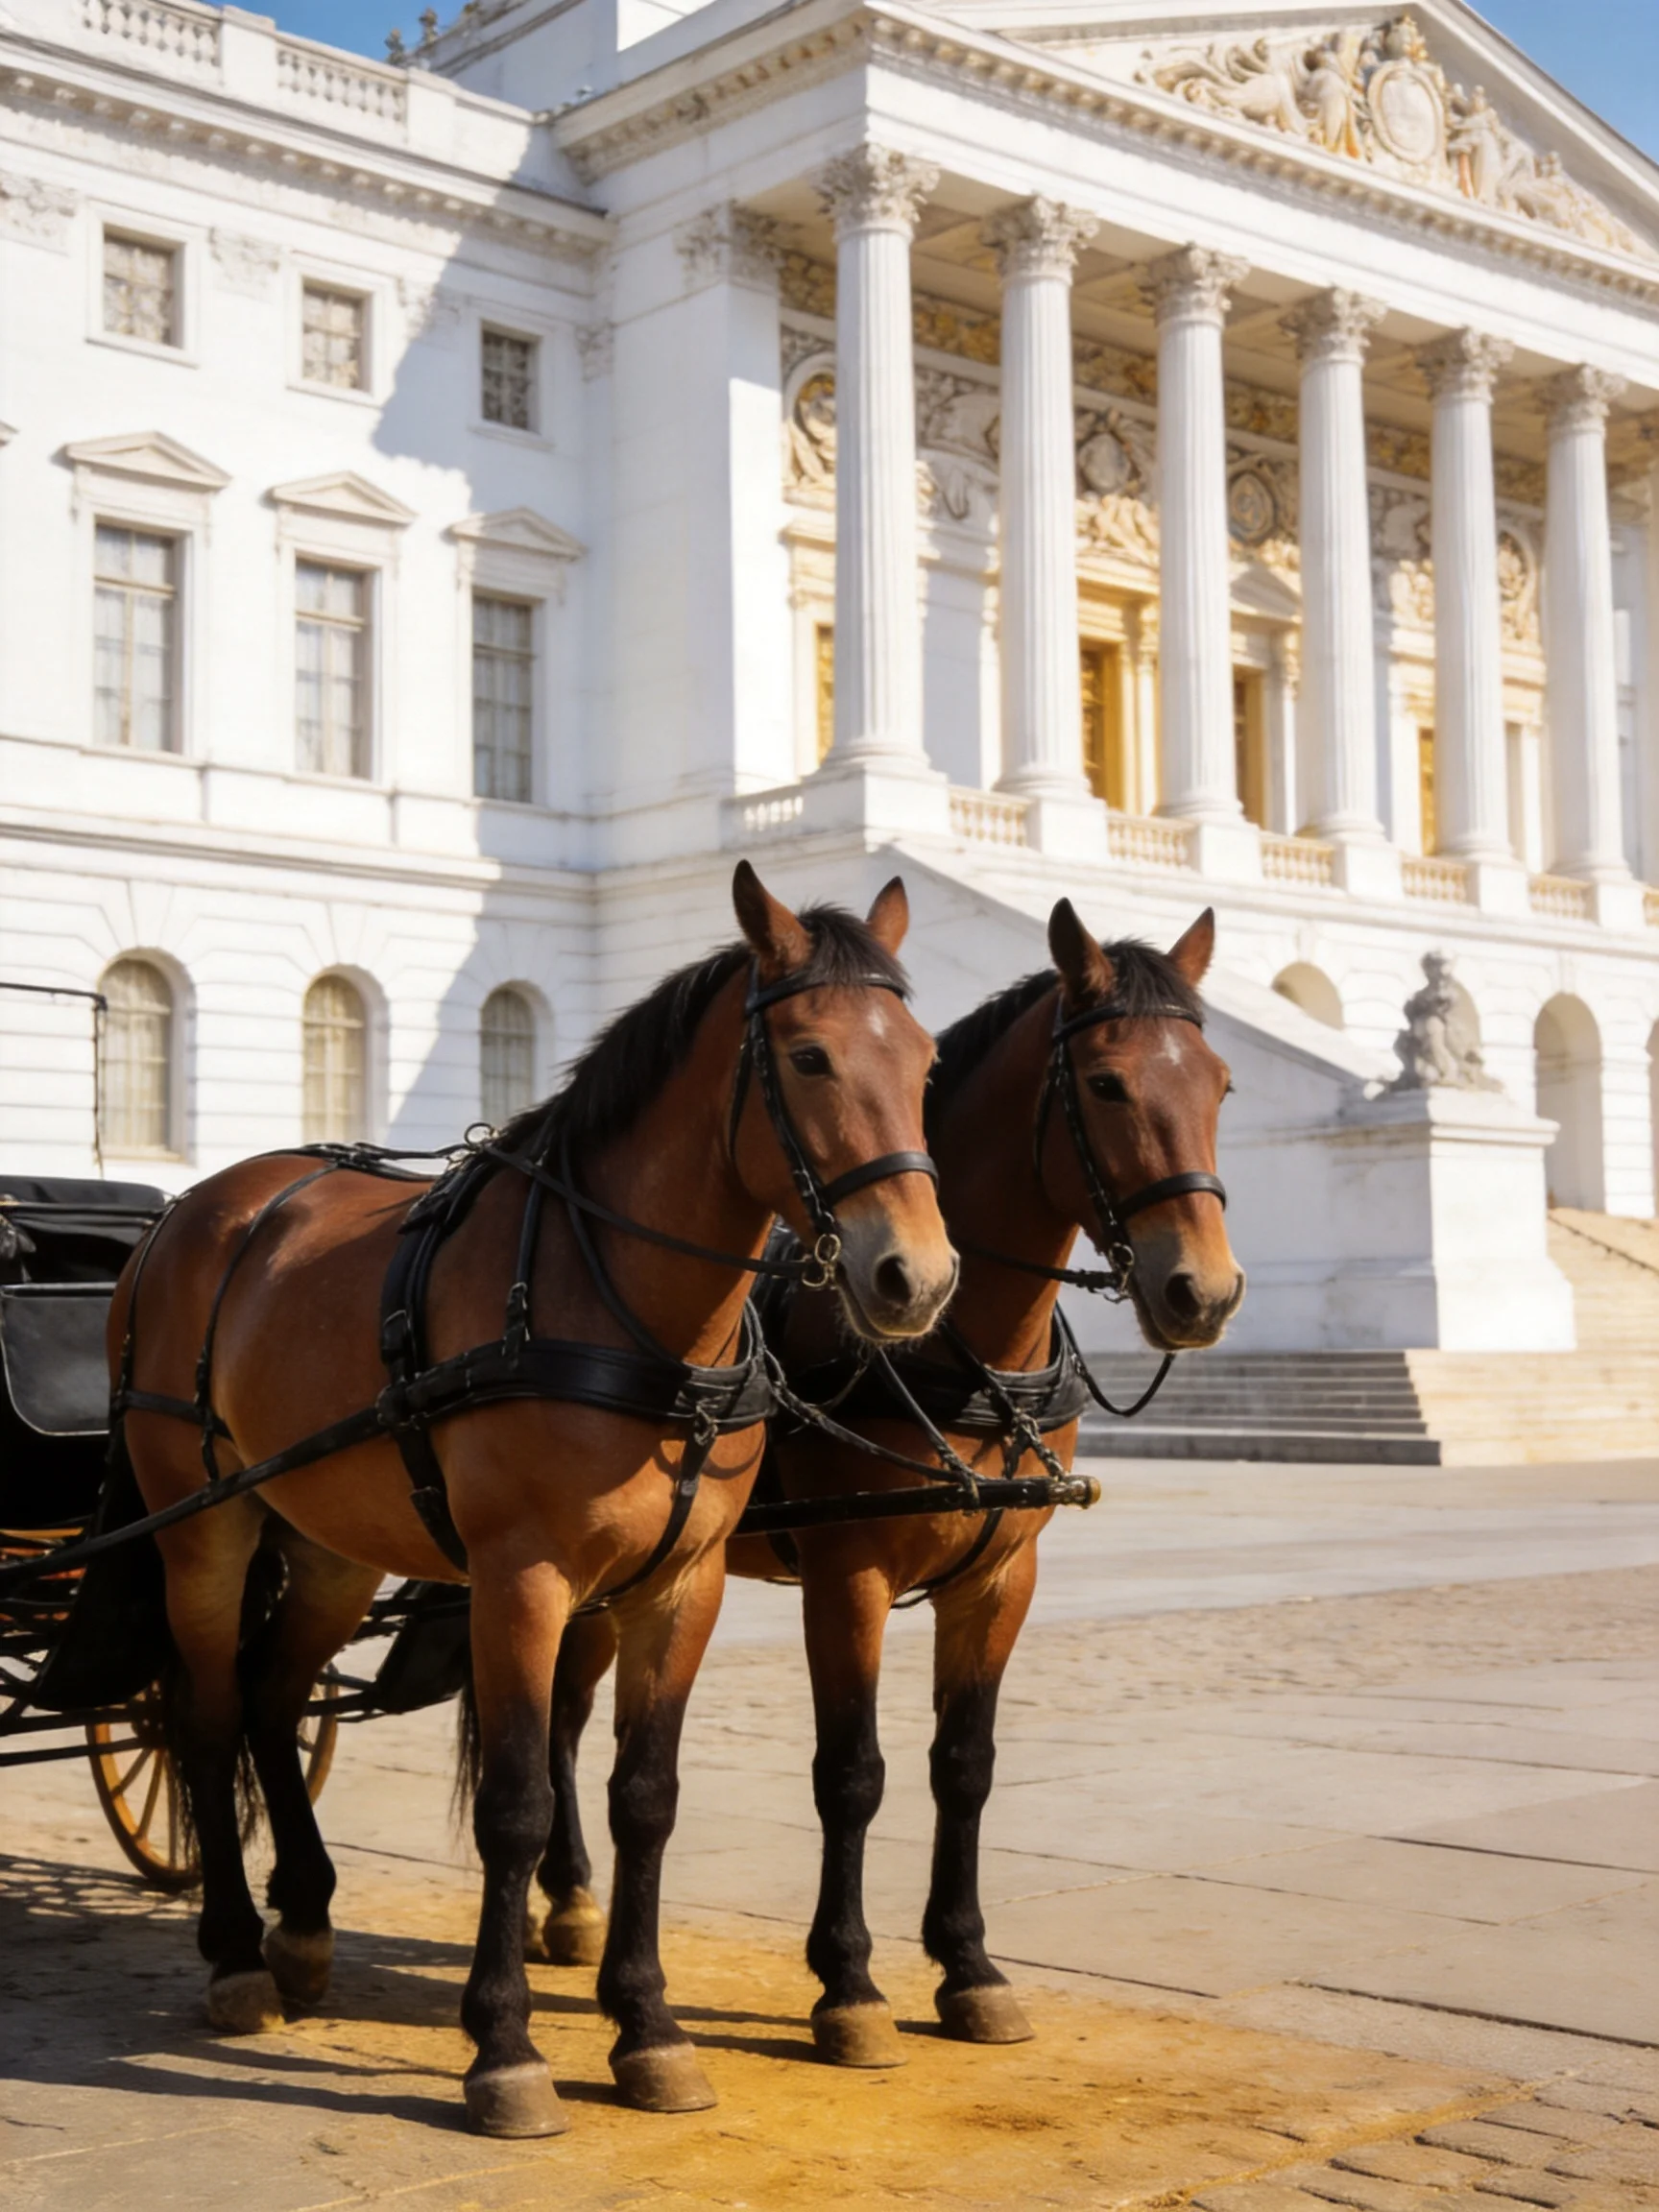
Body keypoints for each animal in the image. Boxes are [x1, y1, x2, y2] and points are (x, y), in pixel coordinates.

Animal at [111, 864, 957, 2138]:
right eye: (809, 1058)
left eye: (925, 1063)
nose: (918, 1277)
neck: (639, 1322)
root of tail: (194, 1208)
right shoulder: (521, 1580)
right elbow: (512, 1800)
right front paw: (503, 2047)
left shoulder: (680, 1588)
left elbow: (645, 1797)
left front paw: (648, 2028)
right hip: (205, 1529)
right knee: (206, 1714)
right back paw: (235, 1954)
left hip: (331, 1539)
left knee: (271, 1696)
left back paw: (302, 1922)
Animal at [526, 901, 1242, 2065]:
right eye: (1107, 1084)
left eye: (1221, 1085)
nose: (1206, 1292)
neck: (972, 1352)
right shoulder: (845, 1576)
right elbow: (851, 1772)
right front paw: (848, 1984)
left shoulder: (1002, 1581)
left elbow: (965, 1763)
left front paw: (969, 1966)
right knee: (561, 1717)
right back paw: (567, 1900)